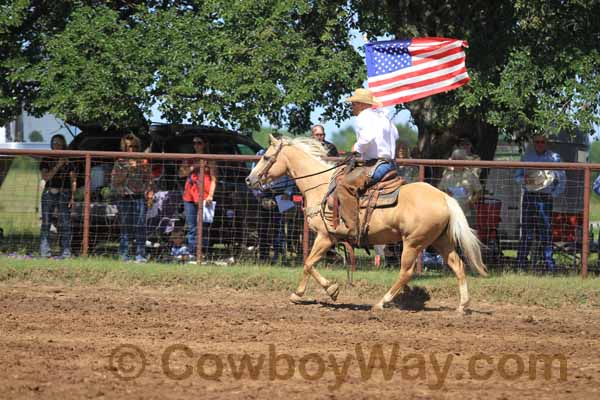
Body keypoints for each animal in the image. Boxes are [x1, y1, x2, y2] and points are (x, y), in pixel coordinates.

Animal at [246, 135, 486, 312]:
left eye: (266, 157)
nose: (249, 179)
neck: (320, 186)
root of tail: (444, 197)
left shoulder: (325, 237)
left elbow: (308, 263)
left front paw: (318, 292)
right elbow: (309, 264)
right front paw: (311, 292)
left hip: (413, 243)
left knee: (406, 272)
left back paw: (381, 302)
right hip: (440, 240)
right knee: (458, 265)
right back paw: (462, 306)